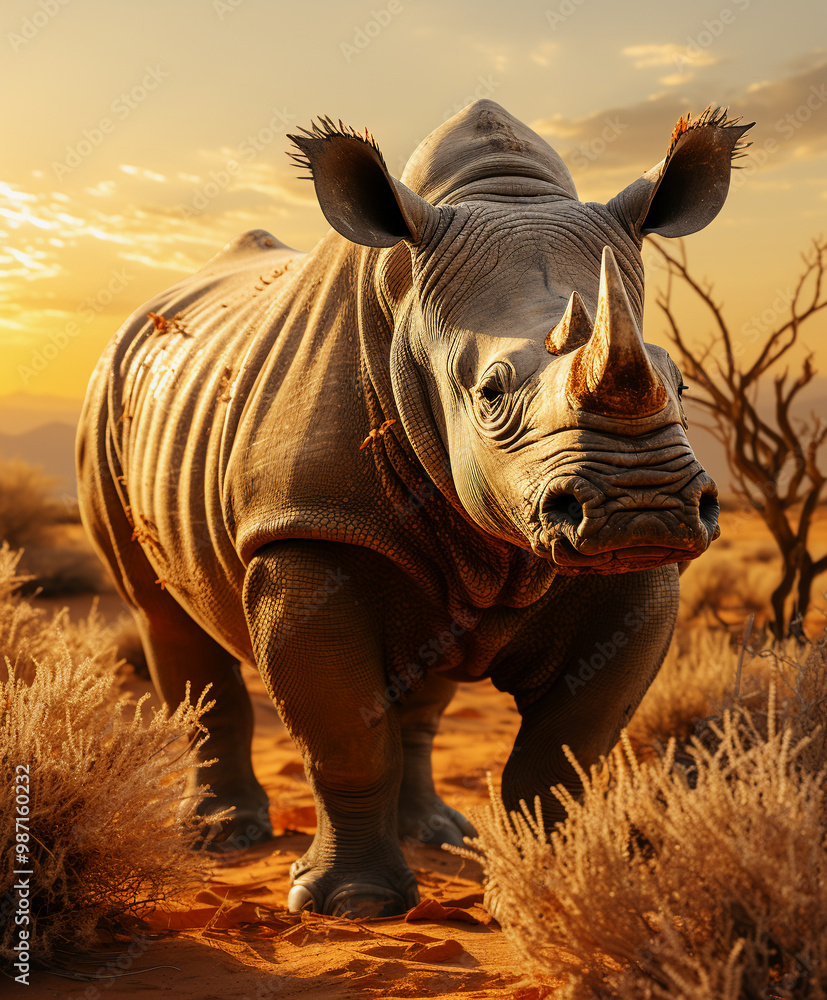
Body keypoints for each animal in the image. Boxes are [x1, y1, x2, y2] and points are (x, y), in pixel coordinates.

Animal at [77, 100, 751, 918]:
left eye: (678, 383)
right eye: (491, 391)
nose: (642, 506)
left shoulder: (632, 572)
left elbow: (566, 751)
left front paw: (542, 896)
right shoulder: (305, 527)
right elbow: (344, 733)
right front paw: (351, 906)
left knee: (425, 682)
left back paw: (438, 835)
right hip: (107, 396)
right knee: (162, 615)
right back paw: (221, 838)